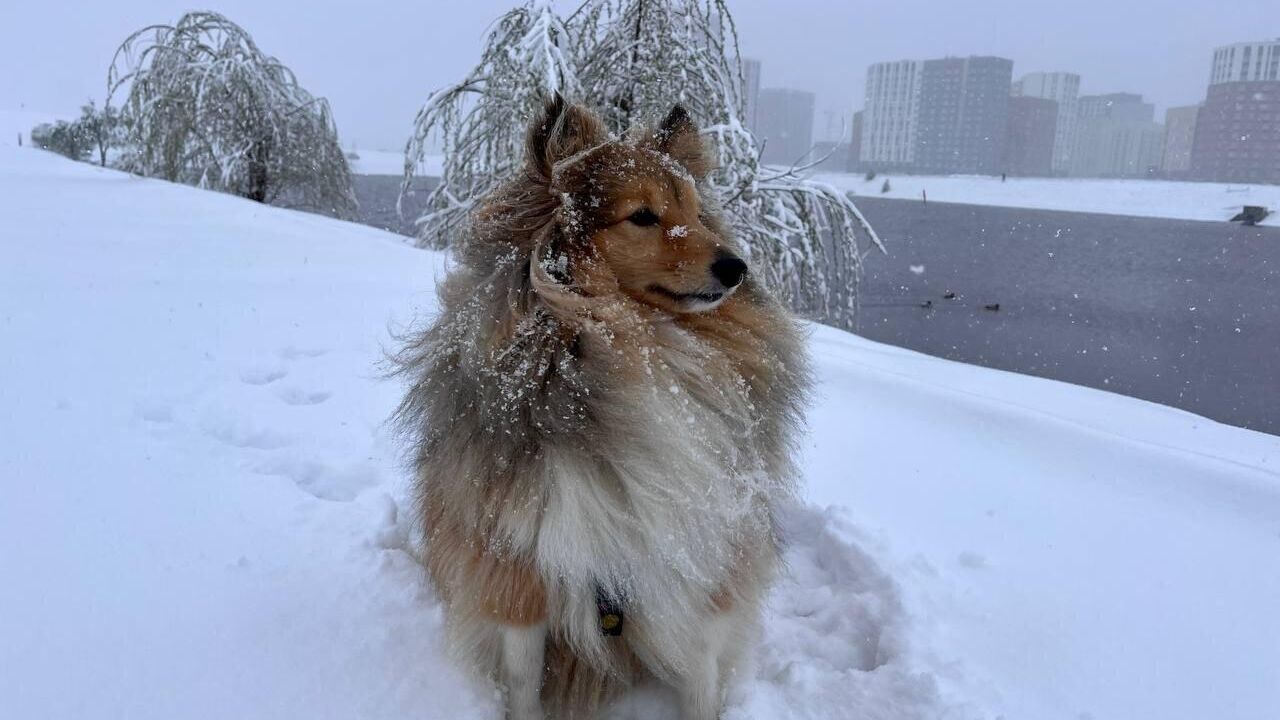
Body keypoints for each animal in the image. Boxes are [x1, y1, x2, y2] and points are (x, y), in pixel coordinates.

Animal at [391, 96, 808, 717]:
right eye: (642, 216)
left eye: (696, 212)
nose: (737, 268)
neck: (638, 347)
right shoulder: (521, 567)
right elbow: (522, 677)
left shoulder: (697, 557)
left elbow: (702, 672)